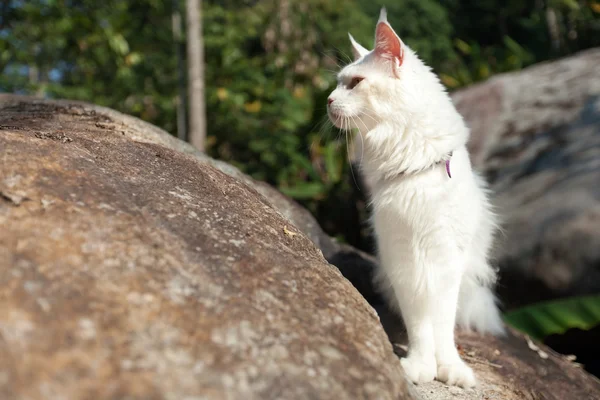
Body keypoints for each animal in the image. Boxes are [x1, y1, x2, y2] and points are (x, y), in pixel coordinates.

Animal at [326, 7, 504, 388]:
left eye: (355, 83)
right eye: (338, 83)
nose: (328, 100)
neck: (414, 164)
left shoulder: (447, 258)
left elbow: (442, 324)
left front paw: (449, 368)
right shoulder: (404, 258)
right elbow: (420, 324)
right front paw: (421, 365)